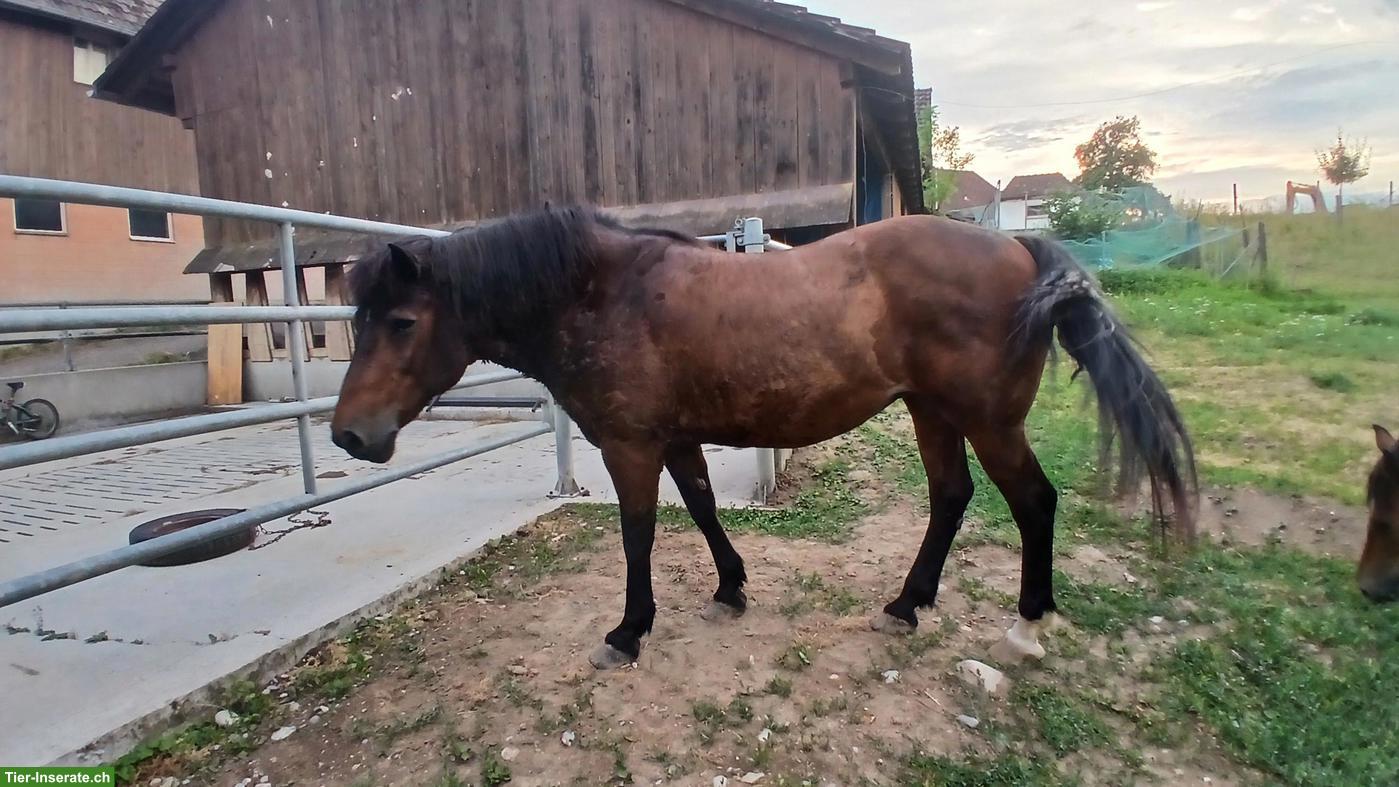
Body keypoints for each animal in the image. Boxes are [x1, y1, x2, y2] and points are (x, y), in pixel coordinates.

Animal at [329, 207, 1196, 669]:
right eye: (357, 320)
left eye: (400, 321)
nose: (347, 435)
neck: (602, 294)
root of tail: (1016, 245)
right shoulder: (674, 438)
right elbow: (704, 508)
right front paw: (729, 590)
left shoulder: (629, 445)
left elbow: (639, 534)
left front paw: (628, 631)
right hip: (931, 411)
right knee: (951, 496)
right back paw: (904, 605)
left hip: (988, 421)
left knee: (1032, 501)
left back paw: (1025, 626)